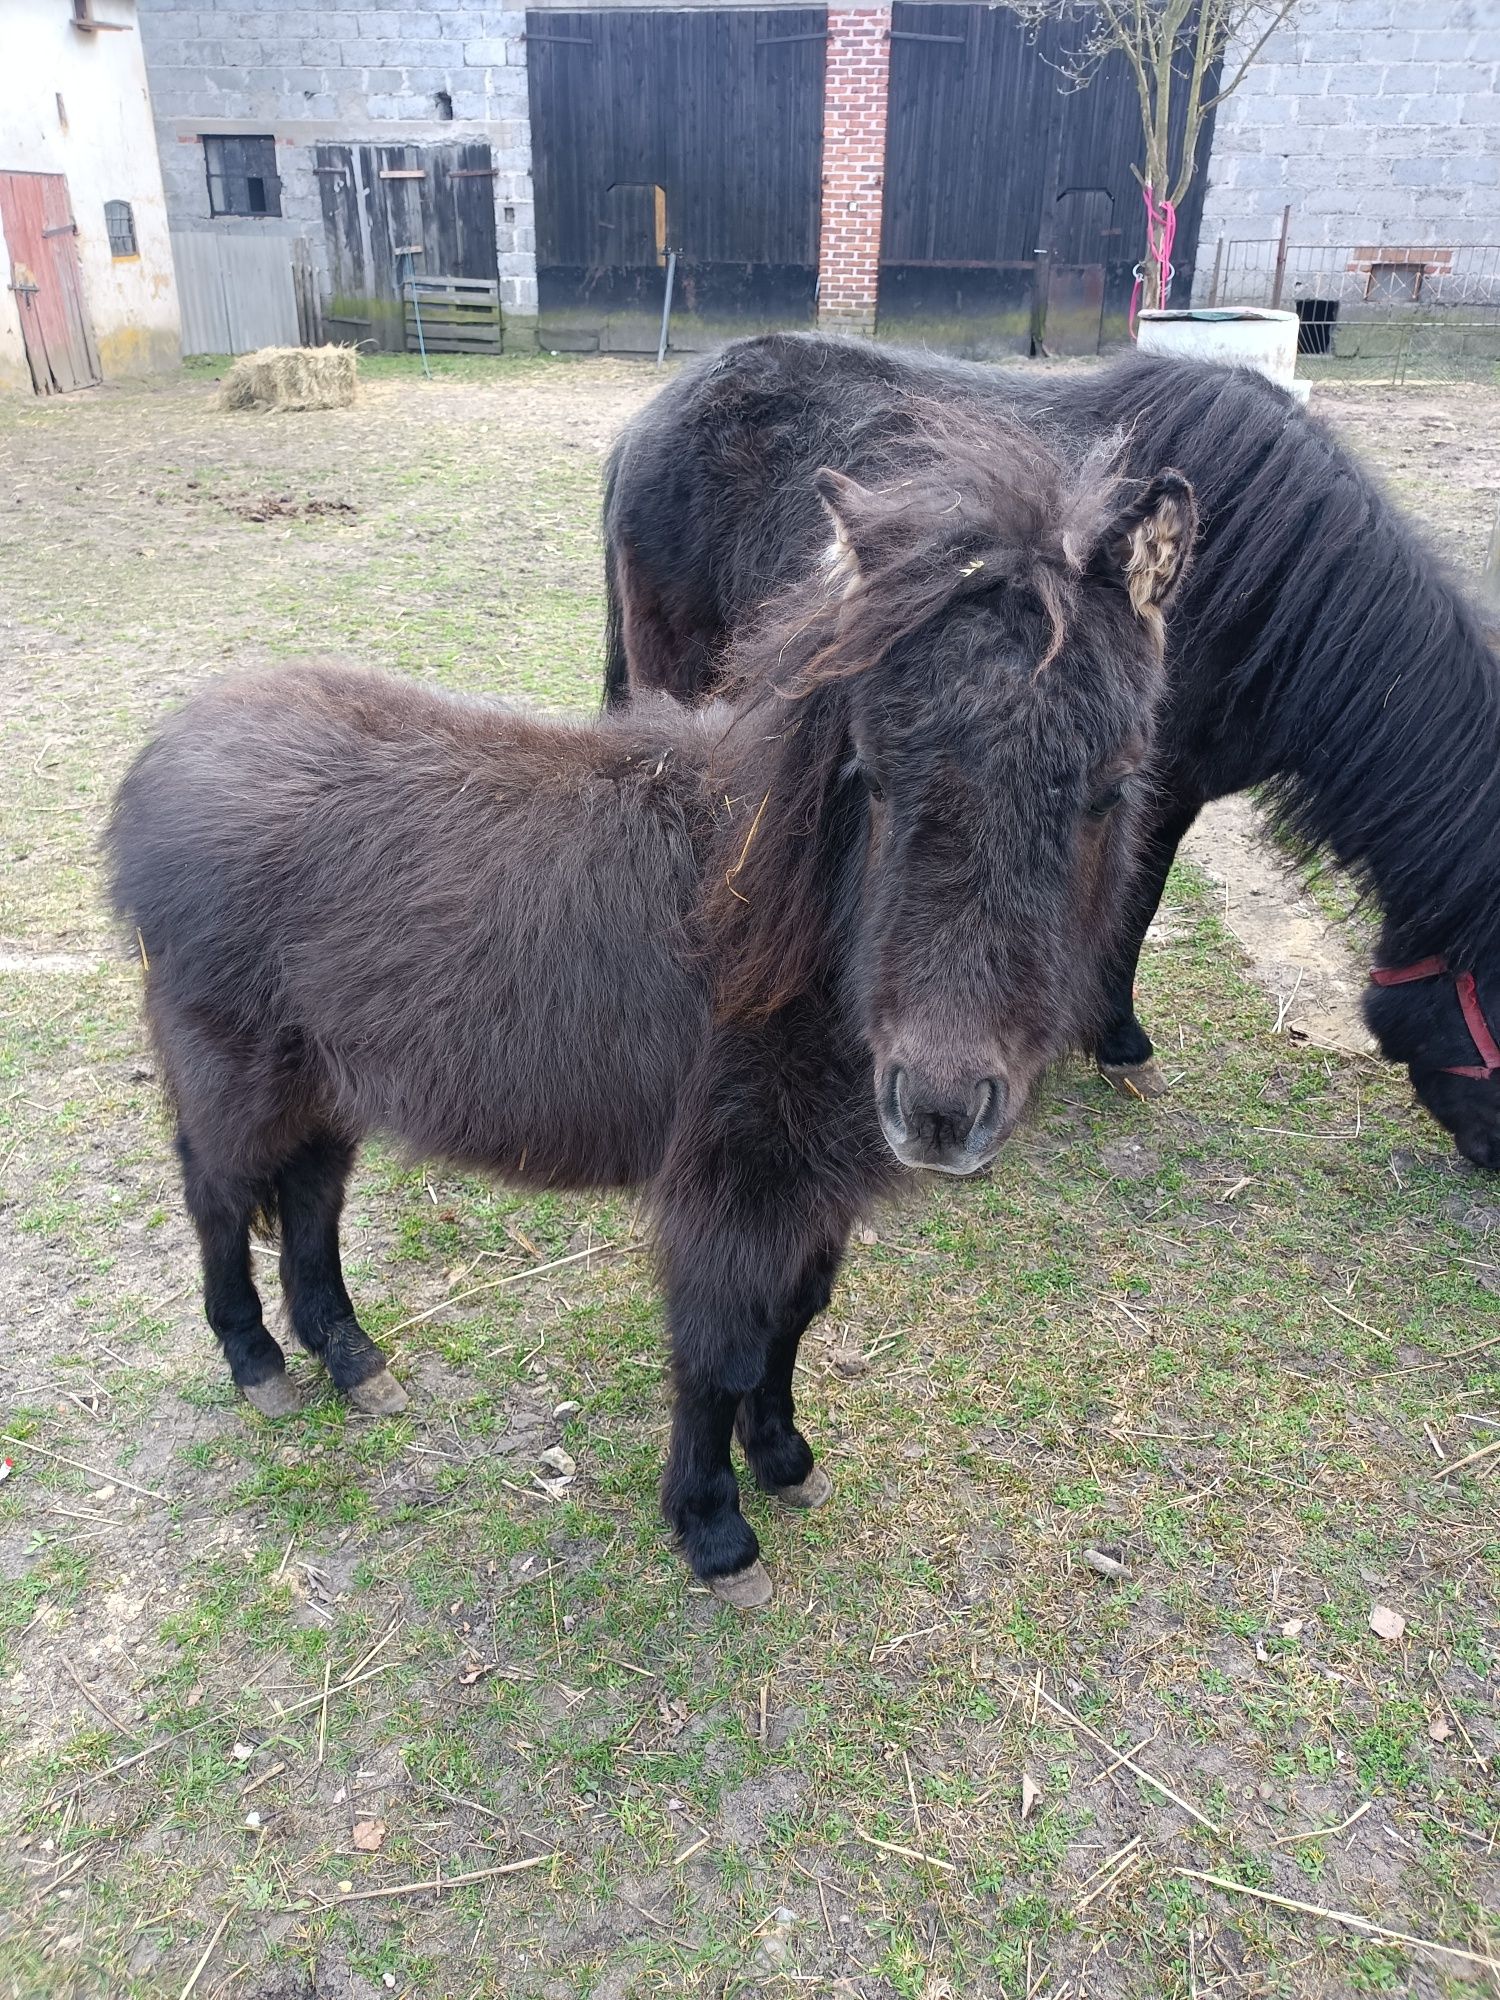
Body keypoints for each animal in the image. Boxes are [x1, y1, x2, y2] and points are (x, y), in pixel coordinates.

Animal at [106, 426, 1192, 1608]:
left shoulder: (809, 1192)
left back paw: (352, 1361)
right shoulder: (729, 1189)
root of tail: (168, 749)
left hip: (327, 1079)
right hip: (232, 1066)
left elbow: (792, 1323)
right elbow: (720, 1353)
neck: (787, 927)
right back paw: (259, 1363)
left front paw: (784, 1460)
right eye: (871, 773)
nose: (942, 1109)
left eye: (1110, 786)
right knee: (218, 1194)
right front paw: (716, 1532)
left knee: (308, 1198)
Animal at [604, 332, 1500, 1168]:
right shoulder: (1162, 789)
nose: (1490, 1152)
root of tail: (651, 422)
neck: (1269, 593)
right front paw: (1120, 1042)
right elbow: (1135, 903)